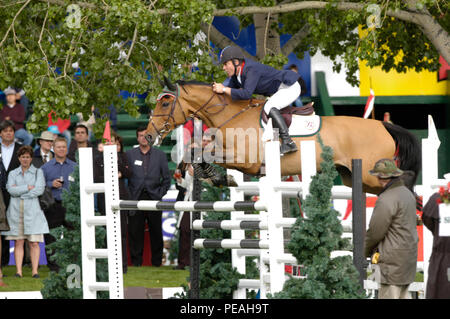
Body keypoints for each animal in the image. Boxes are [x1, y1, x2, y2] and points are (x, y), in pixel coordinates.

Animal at [148, 80, 422, 195]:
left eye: (165, 104)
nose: (149, 135)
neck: (232, 114)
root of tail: (384, 125)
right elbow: (195, 152)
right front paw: (206, 176)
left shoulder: (247, 161)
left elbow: (205, 154)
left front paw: (216, 178)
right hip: (355, 178)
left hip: (371, 174)